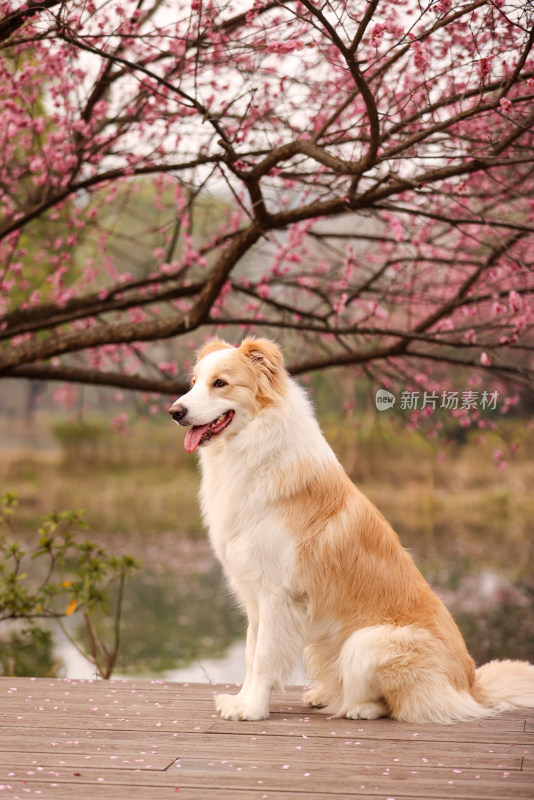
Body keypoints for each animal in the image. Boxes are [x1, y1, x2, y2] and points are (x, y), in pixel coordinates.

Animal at [171, 338, 534, 724]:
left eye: (220, 383)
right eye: (193, 383)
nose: (174, 411)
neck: (255, 444)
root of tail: (471, 685)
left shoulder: (277, 594)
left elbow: (264, 657)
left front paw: (252, 709)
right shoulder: (254, 595)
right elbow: (251, 654)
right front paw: (242, 701)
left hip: (366, 642)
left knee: (397, 703)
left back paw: (357, 708)